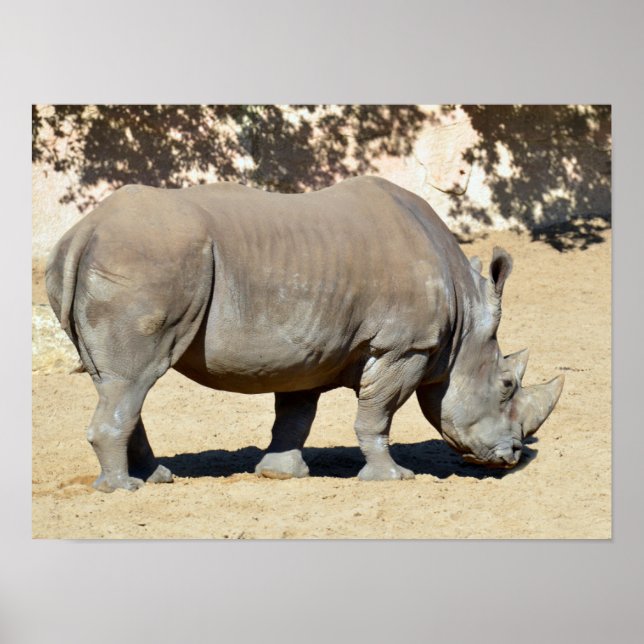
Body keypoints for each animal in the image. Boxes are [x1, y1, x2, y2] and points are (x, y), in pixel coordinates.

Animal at [46, 176, 563, 492]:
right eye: (506, 385)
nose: (512, 456)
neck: (463, 319)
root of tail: (84, 231)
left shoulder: (309, 348)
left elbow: (295, 416)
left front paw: (281, 474)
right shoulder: (403, 346)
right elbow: (376, 415)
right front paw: (393, 478)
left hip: (120, 258)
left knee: (118, 383)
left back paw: (157, 477)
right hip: (146, 260)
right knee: (134, 379)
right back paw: (125, 489)